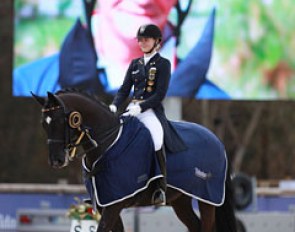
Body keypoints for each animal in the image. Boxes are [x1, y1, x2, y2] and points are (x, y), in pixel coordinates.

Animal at [31, 89, 238, 232]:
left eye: (60, 121)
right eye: (43, 123)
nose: (57, 161)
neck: (107, 144)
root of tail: (216, 140)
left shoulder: (114, 205)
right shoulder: (107, 204)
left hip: (208, 199)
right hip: (181, 200)